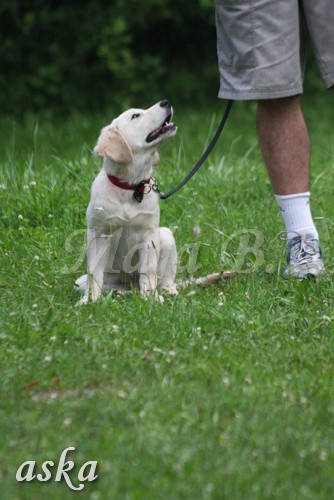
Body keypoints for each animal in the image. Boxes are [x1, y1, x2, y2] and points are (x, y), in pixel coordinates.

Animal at [77, 99, 179, 302]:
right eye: (136, 115)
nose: (166, 102)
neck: (131, 187)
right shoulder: (98, 232)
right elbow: (94, 271)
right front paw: (90, 300)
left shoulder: (149, 233)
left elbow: (148, 269)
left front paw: (151, 298)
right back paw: (118, 292)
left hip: (166, 235)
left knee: (164, 277)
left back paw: (166, 289)